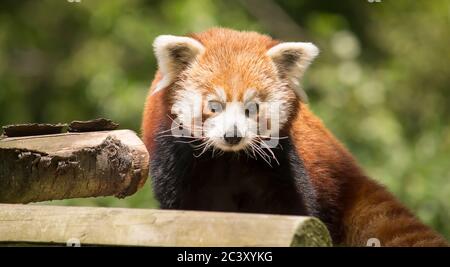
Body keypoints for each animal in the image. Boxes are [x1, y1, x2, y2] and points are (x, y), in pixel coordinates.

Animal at [142, 27, 448, 247]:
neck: (228, 159)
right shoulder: (175, 161)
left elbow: (291, 209)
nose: (233, 136)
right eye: (214, 106)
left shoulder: (282, 164)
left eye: (252, 108)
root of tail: (350, 172)